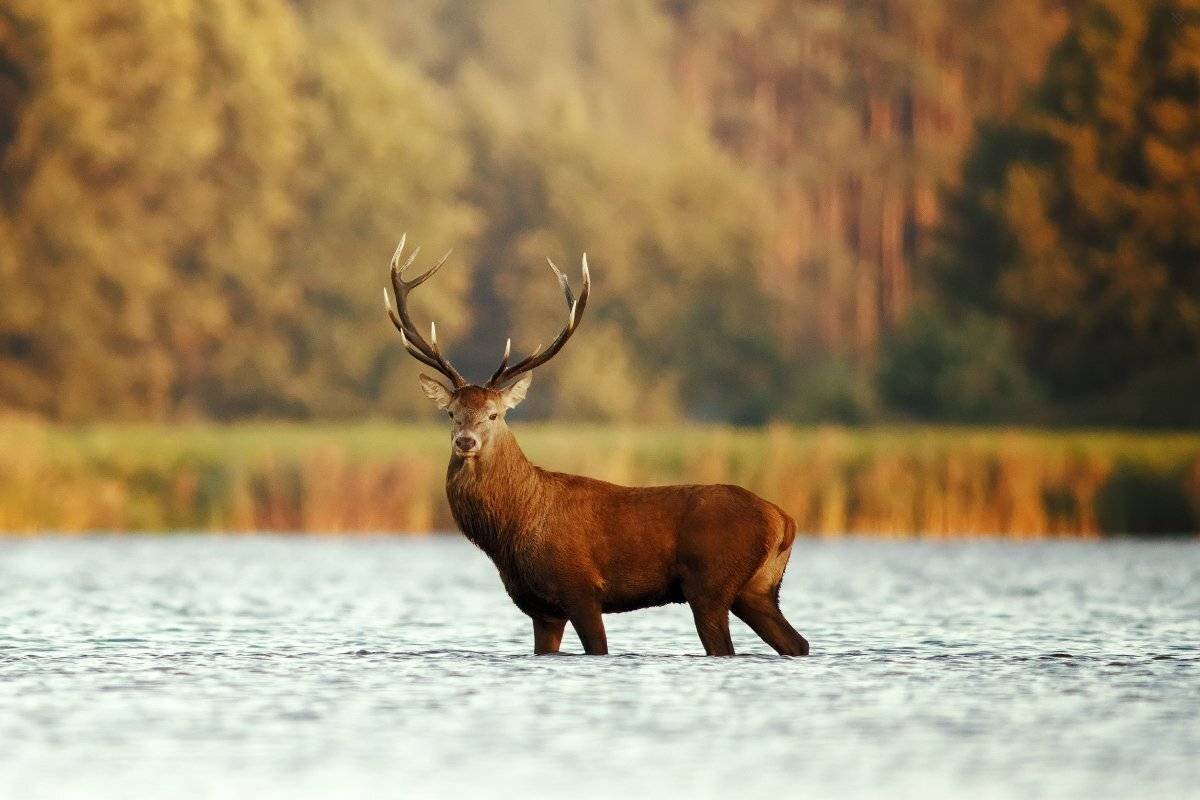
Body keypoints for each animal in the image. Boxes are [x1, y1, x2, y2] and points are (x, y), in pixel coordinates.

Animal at [383, 236, 810, 656]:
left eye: (494, 414)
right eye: (451, 413)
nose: (465, 441)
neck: (514, 528)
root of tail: (783, 520)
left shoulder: (581, 588)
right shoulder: (541, 608)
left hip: (710, 585)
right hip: (757, 590)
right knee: (798, 642)